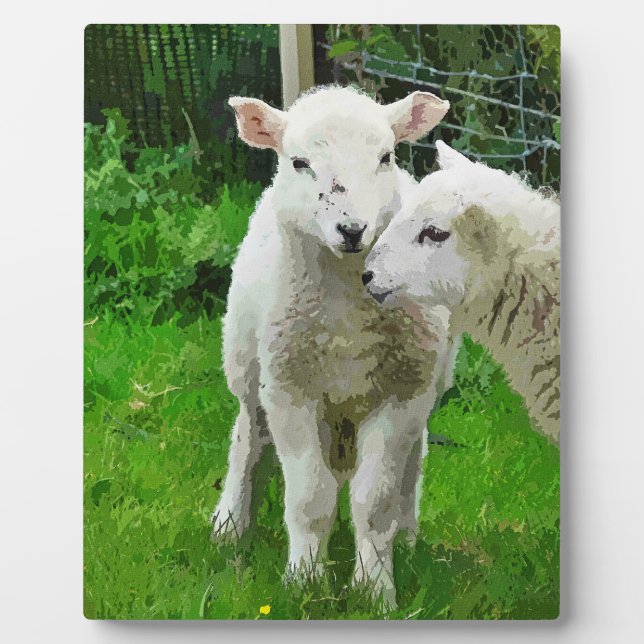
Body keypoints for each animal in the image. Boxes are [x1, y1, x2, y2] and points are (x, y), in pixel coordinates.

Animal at [211, 86, 451, 605]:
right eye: (299, 162)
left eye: (386, 157)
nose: (352, 229)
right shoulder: (289, 390)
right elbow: (309, 496)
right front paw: (304, 580)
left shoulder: (402, 393)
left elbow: (373, 502)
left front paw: (375, 590)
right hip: (247, 360)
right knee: (247, 438)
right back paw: (229, 525)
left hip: (424, 383)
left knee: (412, 462)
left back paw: (409, 536)